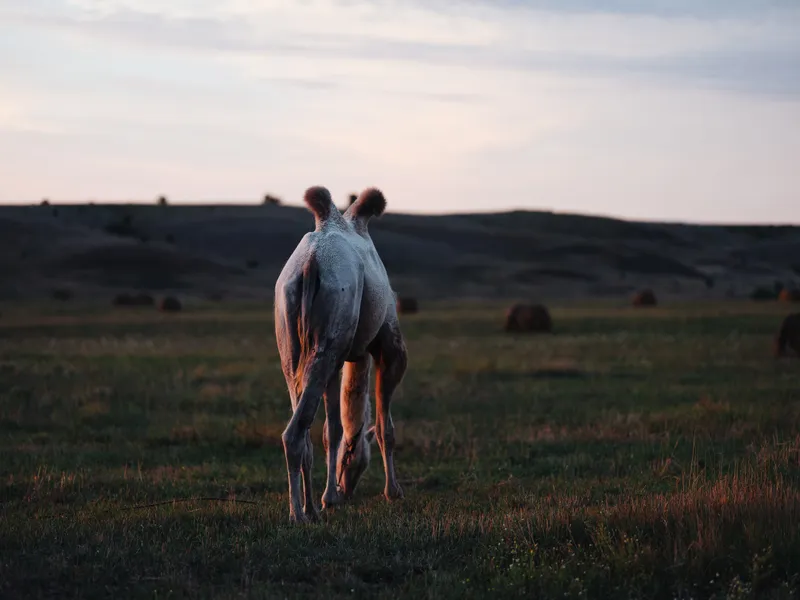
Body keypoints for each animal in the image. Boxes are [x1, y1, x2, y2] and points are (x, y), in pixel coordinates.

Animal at [274, 186, 408, 523]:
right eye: (360, 460)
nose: (347, 489)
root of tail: (310, 264)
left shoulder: (341, 359)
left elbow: (331, 430)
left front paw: (328, 499)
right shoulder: (388, 348)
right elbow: (386, 427)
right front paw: (393, 492)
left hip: (297, 347)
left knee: (303, 426)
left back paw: (309, 511)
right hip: (329, 339)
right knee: (293, 433)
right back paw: (297, 515)